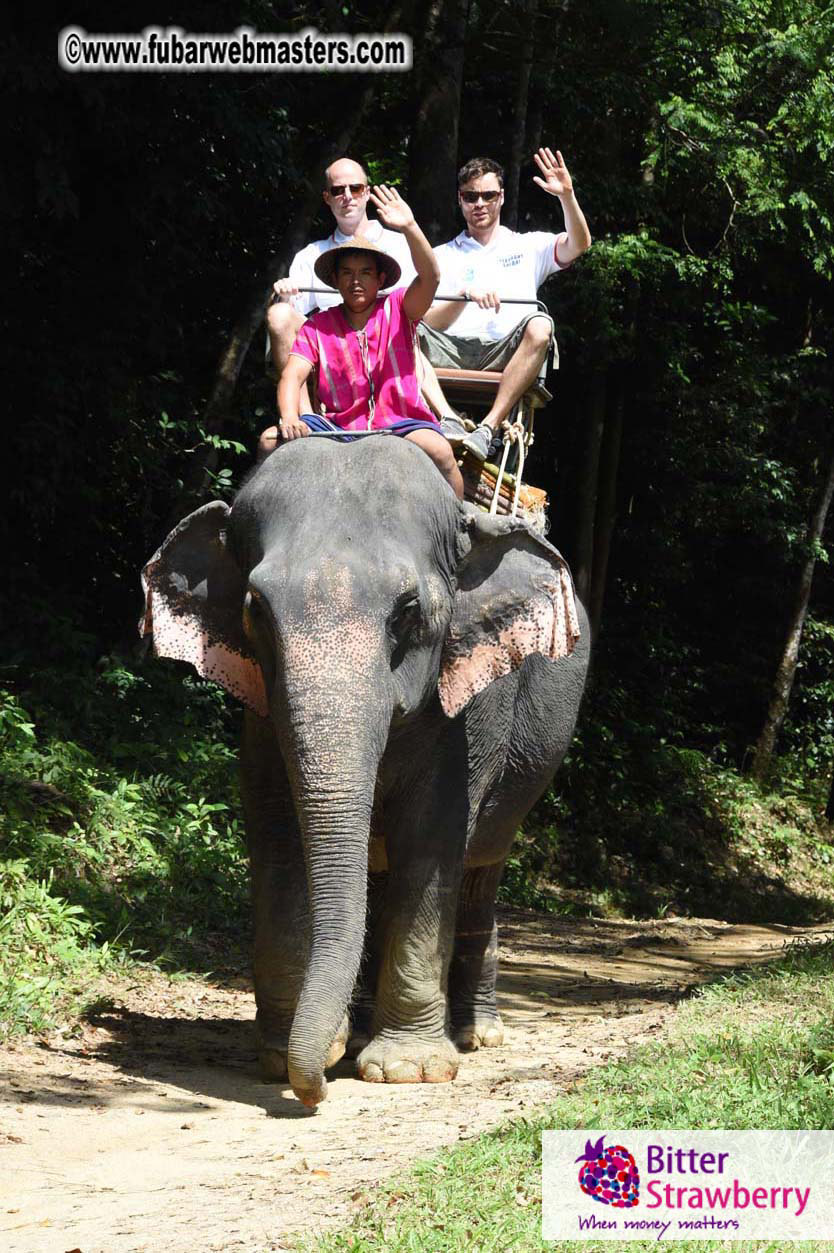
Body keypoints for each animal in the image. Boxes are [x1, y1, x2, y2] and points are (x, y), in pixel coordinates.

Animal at [140, 434, 589, 1106]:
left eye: (408, 610)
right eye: (255, 608)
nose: (314, 1094)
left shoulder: (467, 708)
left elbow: (430, 843)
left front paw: (410, 1069)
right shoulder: (260, 714)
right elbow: (278, 839)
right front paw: (287, 1055)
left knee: (481, 870)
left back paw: (475, 1034)